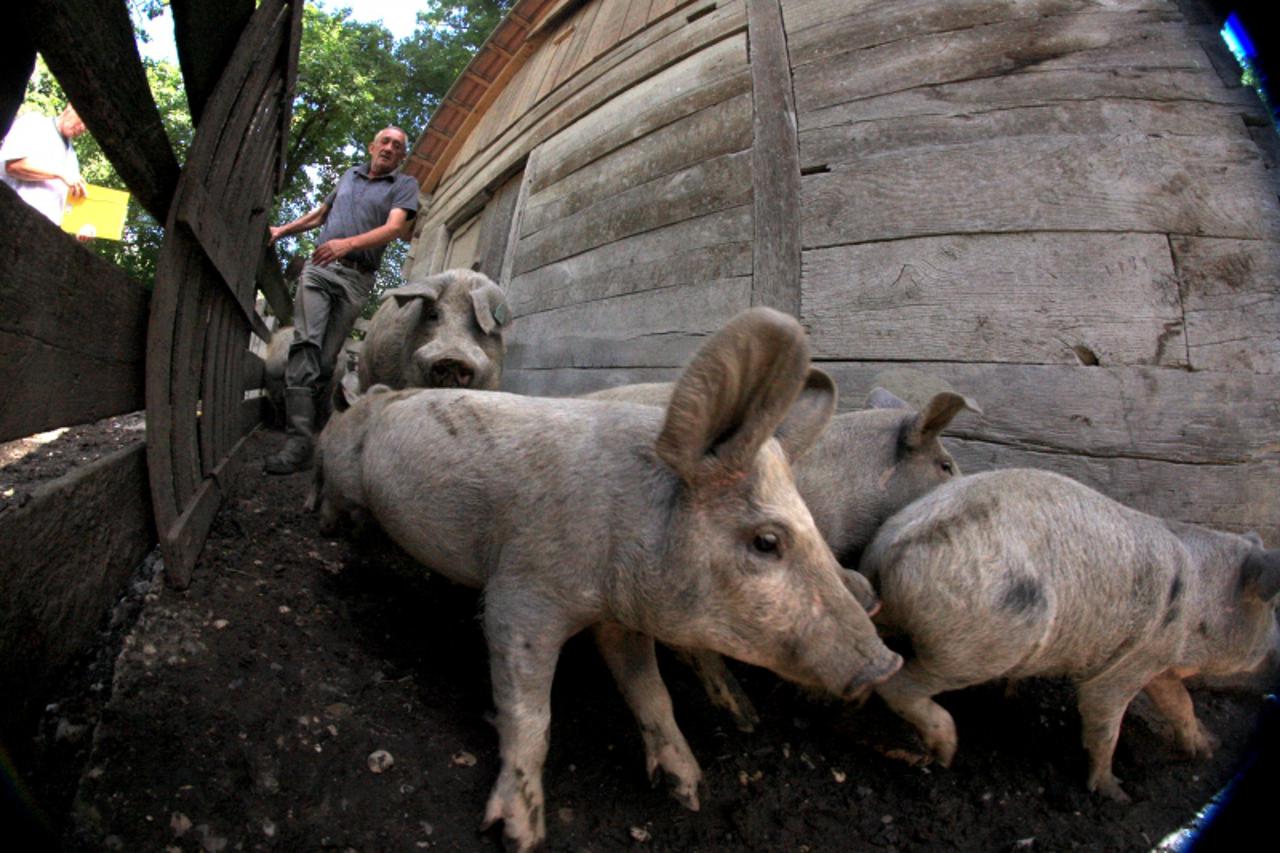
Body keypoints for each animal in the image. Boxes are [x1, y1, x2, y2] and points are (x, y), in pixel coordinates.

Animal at [316, 303, 906, 845]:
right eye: (767, 541)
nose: (886, 662)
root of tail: (373, 395)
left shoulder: (620, 622)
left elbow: (653, 693)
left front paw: (689, 792)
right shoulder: (521, 595)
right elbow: (530, 715)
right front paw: (520, 835)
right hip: (337, 471)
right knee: (328, 497)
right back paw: (330, 546)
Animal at [860, 468, 1280, 799]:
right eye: (1273, 608)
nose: (1275, 652)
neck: (1199, 605)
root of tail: (889, 548)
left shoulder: (1156, 661)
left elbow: (1180, 702)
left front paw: (1210, 747)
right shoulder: (1131, 661)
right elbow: (1103, 716)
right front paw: (1116, 794)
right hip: (974, 643)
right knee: (900, 684)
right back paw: (947, 752)